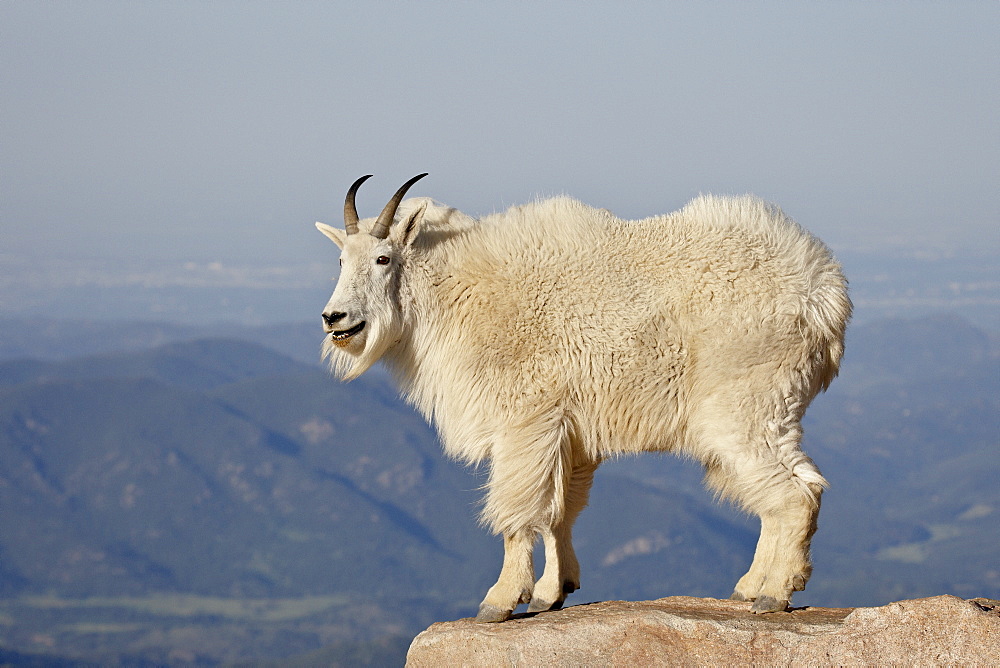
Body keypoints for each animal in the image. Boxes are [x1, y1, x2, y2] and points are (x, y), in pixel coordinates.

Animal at [316, 174, 848, 620]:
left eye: (383, 259)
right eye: (341, 260)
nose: (335, 319)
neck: (456, 293)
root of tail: (825, 296)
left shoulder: (525, 422)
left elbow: (518, 512)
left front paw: (500, 601)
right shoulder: (569, 435)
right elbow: (558, 513)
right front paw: (553, 593)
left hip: (743, 407)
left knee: (794, 493)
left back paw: (775, 593)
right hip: (769, 410)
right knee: (792, 488)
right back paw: (750, 586)